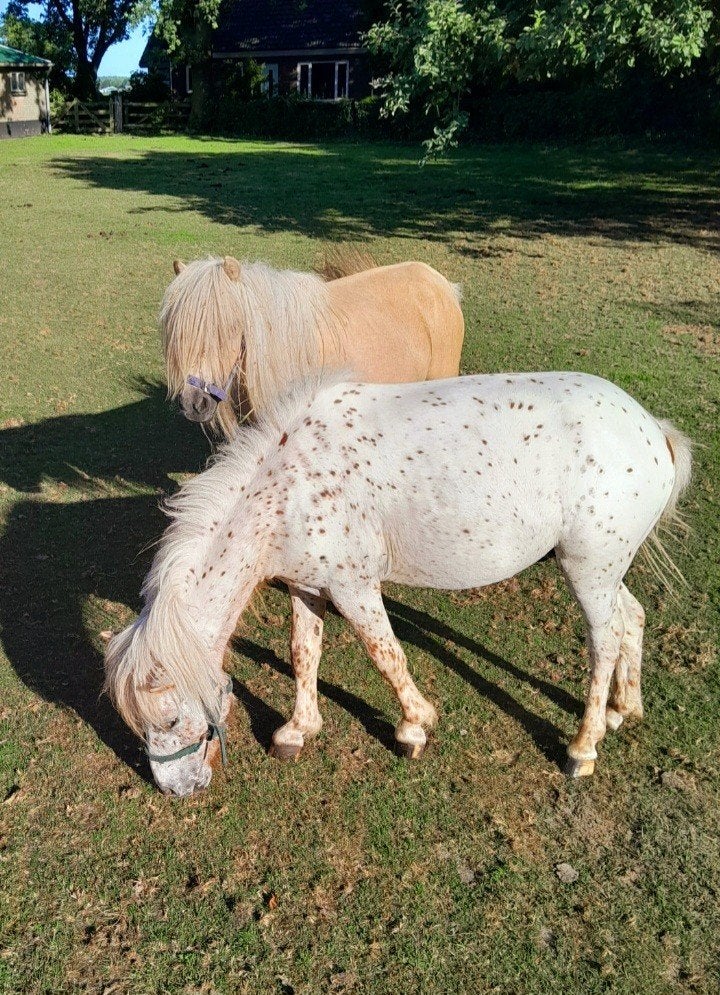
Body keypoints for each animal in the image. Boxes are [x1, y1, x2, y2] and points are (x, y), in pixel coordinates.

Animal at [105, 371, 691, 796]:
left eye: (172, 717)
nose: (178, 791)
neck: (291, 485)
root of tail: (652, 427)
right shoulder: (307, 588)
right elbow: (302, 652)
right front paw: (297, 729)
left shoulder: (354, 589)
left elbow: (386, 655)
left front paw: (414, 726)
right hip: (606, 571)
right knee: (632, 618)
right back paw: (624, 709)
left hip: (587, 571)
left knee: (604, 642)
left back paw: (582, 747)